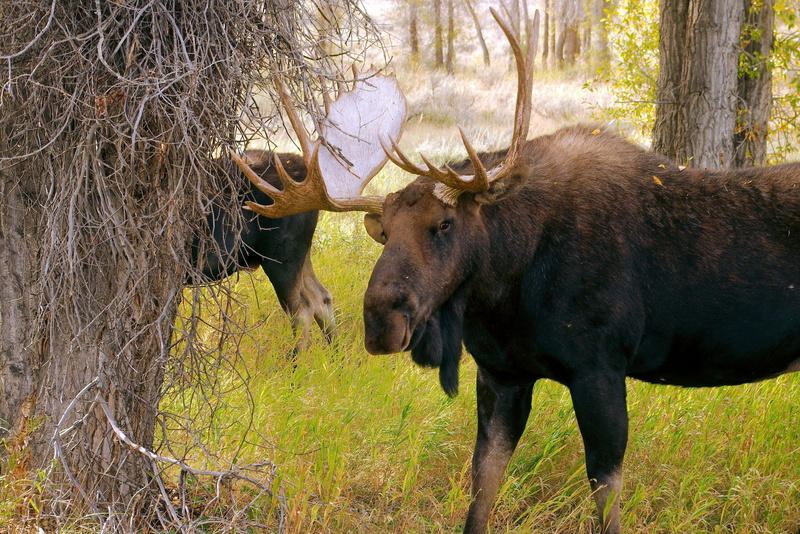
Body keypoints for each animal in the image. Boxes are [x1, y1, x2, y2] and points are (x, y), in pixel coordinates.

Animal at [232, 10, 799, 534]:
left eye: (444, 224)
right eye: (384, 232)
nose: (380, 321)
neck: (506, 293)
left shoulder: (600, 369)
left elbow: (606, 498)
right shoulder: (500, 373)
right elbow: (482, 488)